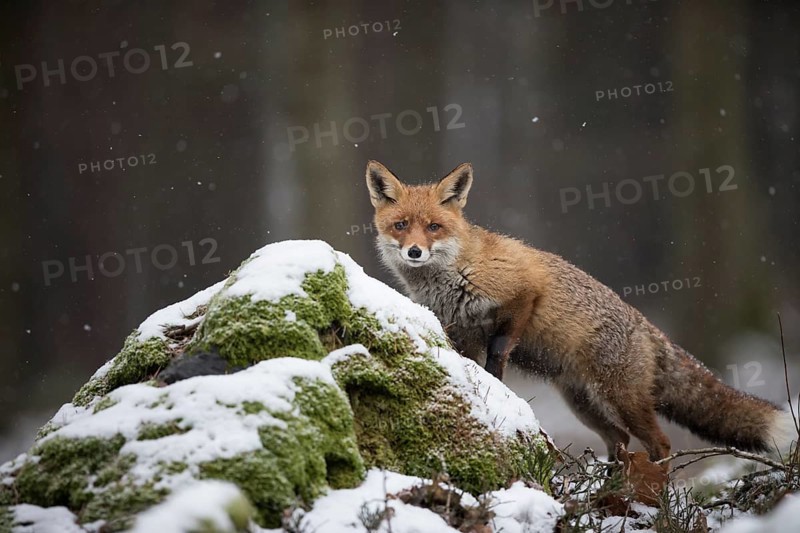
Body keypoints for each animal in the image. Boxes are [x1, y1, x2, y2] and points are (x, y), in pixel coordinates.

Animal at [364, 159, 796, 461]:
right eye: (401, 225)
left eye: (433, 227)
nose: (414, 252)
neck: (455, 273)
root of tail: (651, 329)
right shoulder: (463, 330)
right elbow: (472, 361)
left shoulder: (524, 291)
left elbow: (499, 352)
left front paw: (498, 383)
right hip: (584, 404)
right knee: (620, 440)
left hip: (621, 397)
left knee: (659, 442)